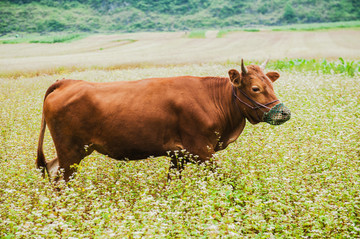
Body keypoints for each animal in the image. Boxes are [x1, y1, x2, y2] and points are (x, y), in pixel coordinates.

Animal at [35, 59, 290, 181]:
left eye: (271, 83)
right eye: (256, 88)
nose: (284, 112)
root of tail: (67, 82)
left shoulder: (178, 154)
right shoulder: (201, 150)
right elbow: (225, 178)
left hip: (77, 150)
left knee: (52, 169)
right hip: (71, 151)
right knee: (61, 180)